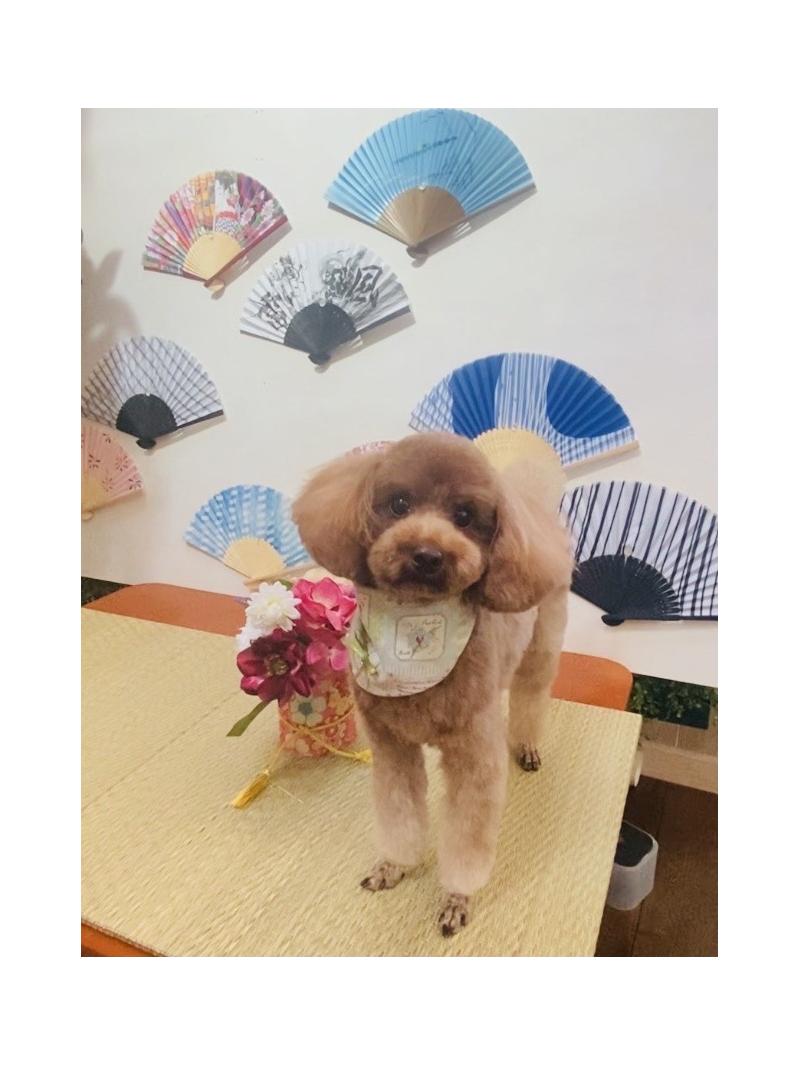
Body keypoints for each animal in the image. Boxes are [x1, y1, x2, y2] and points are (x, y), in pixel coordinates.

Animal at [292, 432, 573, 936]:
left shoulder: (474, 762)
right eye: (399, 503)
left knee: (530, 697)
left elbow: (466, 839)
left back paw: (526, 746)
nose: (426, 555)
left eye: (464, 516)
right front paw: (395, 866)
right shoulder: (392, 749)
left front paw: (457, 897)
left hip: (542, 646)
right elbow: (401, 815)